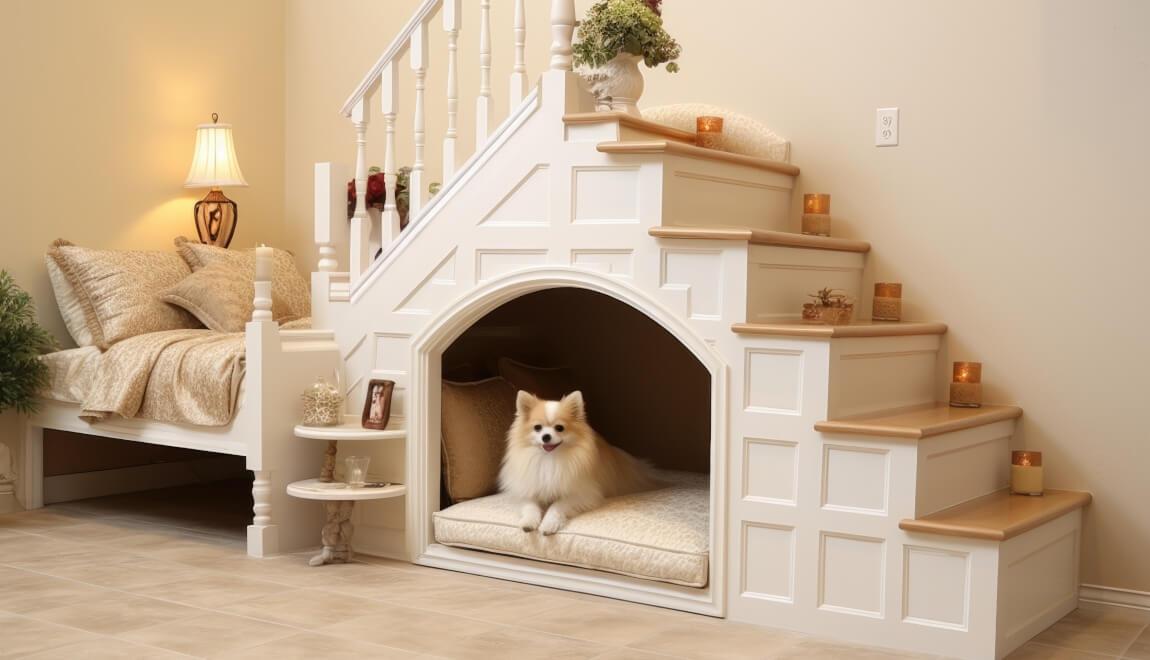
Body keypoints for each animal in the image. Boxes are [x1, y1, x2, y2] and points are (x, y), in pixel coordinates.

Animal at [499, 390, 662, 535]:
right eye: (537, 428)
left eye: (559, 428)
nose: (546, 436)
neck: (550, 459)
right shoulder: (527, 489)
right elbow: (530, 505)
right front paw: (529, 522)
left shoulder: (582, 494)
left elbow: (557, 505)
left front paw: (549, 523)